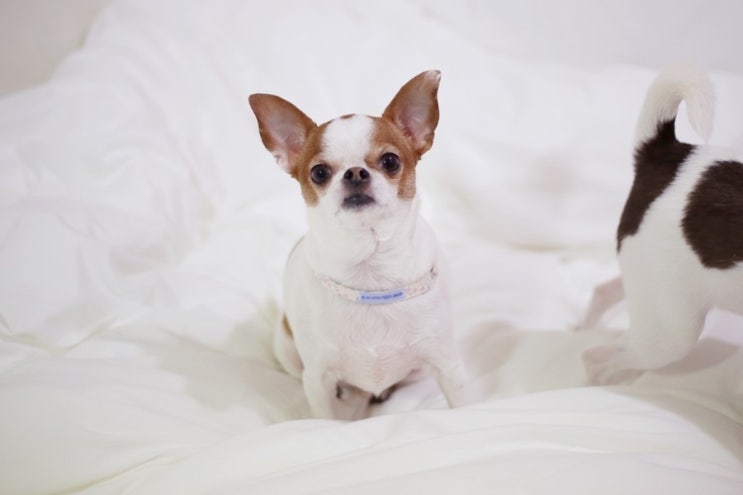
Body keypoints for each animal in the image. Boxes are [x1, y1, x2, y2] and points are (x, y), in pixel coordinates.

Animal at [248, 71, 471, 419]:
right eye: (319, 172)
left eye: (390, 161)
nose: (354, 172)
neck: (370, 270)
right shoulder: (317, 380)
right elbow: (326, 417)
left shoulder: (447, 365)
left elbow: (461, 404)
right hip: (286, 350)